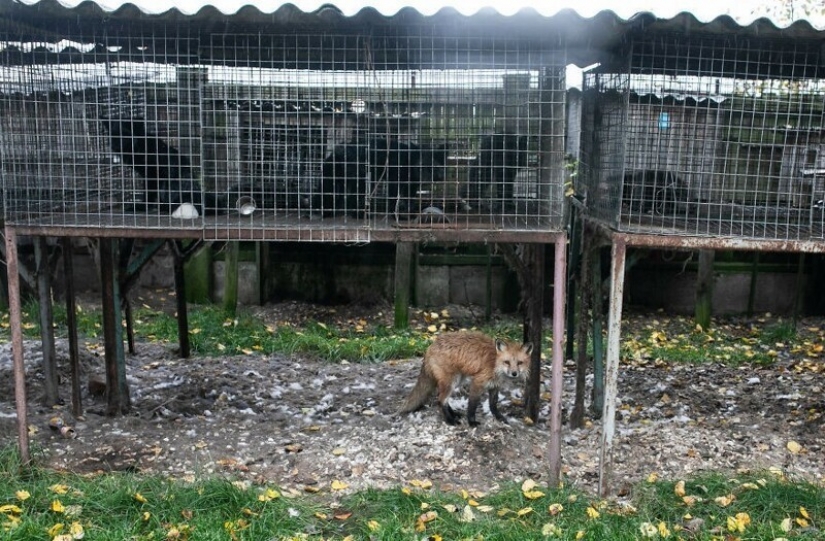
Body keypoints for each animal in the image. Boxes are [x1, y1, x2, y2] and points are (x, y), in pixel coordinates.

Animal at [398, 331, 533, 426]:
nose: (514, 373)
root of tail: (430, 346)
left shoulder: (494, 386)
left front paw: (500, 418)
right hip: (451, 381)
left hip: (457, 381)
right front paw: (471, 422)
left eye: (520, 363)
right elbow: (472, 406)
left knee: (443, 400)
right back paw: (450, 420)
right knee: (440, 400)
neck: (494, 363)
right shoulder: (477, 383)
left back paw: (454, 414)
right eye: (507, 362)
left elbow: (493, 405)